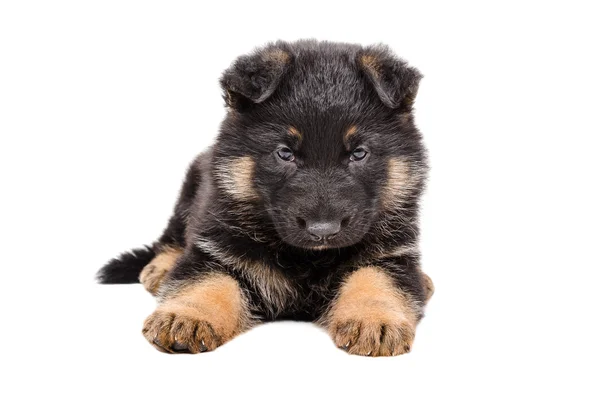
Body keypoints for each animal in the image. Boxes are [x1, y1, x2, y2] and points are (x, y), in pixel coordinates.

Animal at [99, 40, 436, 356]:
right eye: (284, 153)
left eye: (359, 153)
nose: (323, 231)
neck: (308, 257)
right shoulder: (216, 246)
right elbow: (204, 281)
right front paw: (188, 316)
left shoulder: (393, 254)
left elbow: (377, 280)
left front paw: (375, 319)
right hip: (189, 193)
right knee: (170, 238)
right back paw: (161, 266)